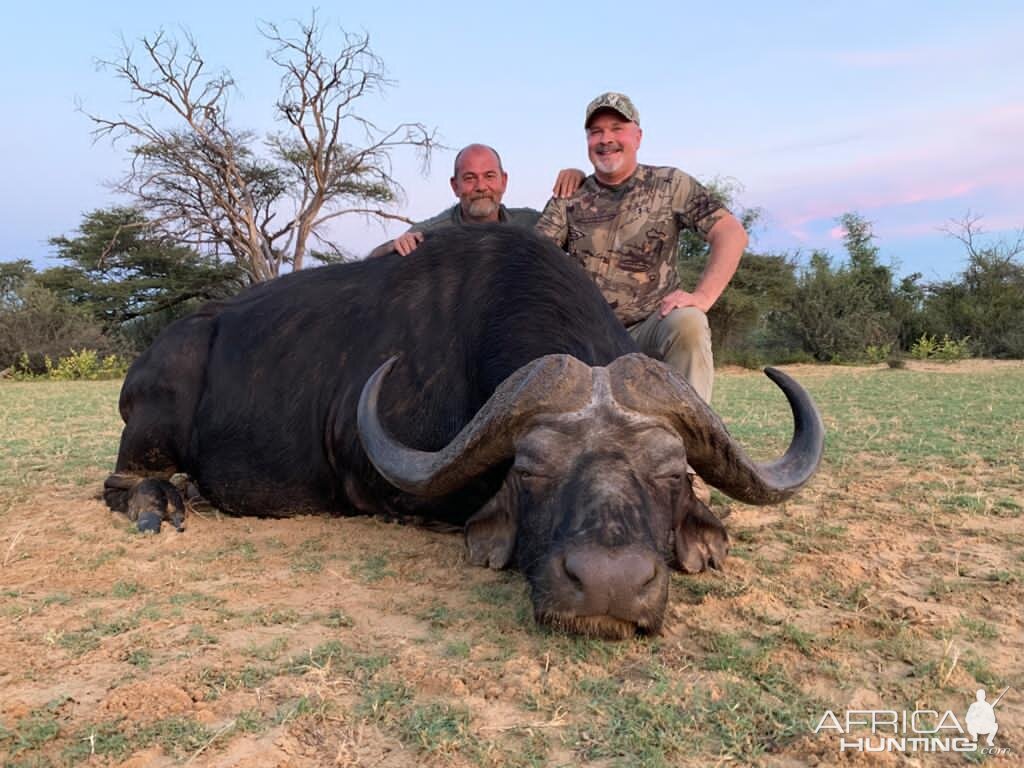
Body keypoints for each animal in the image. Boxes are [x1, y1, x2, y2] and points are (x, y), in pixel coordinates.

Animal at [103, 225, 823, 638]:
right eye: (530, 470)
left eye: (672, 473)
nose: (609, 585)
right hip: (151, 424)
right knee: (123, 483)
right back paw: (159, 501)